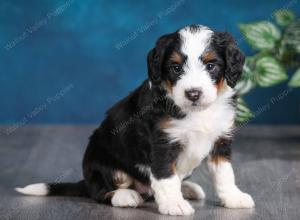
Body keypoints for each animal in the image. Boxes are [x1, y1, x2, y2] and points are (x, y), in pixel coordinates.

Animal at [15, 24, 255, 215]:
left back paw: (187, 188)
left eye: (211, 66)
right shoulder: (162, 143)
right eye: (176, 68)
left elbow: (224, 173)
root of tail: (85, 180)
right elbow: (166, 176)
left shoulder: (221, 139)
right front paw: (174, 204)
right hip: (106, 165)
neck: (197, 111)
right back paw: (126, 196)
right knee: (102, 192)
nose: (193, 93)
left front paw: (233, 197)